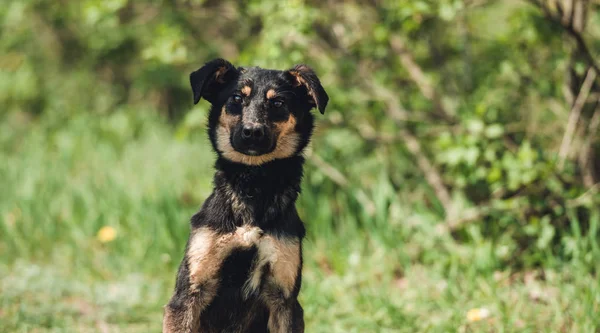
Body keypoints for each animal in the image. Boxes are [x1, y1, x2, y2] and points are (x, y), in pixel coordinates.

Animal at [163, 58, 328, 330]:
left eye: (278, 103)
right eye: (237, 98)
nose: (252, 131)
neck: (253, 184)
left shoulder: (285, 300)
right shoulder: (188, 294)